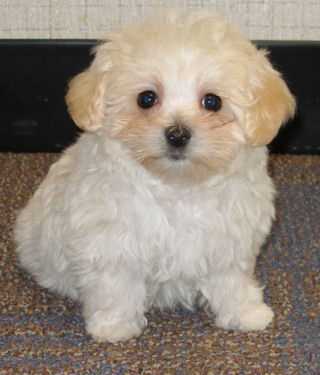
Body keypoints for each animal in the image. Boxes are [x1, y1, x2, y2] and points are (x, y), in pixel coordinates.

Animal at [14, 11, 296, 344]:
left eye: (212, 101)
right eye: (146, 98)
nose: (177, 134)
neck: (178, 186)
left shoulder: (230, 241)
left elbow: (232, 279)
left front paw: (246, 313)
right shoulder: (112, 241)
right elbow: (115, 284)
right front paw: (114, 327)